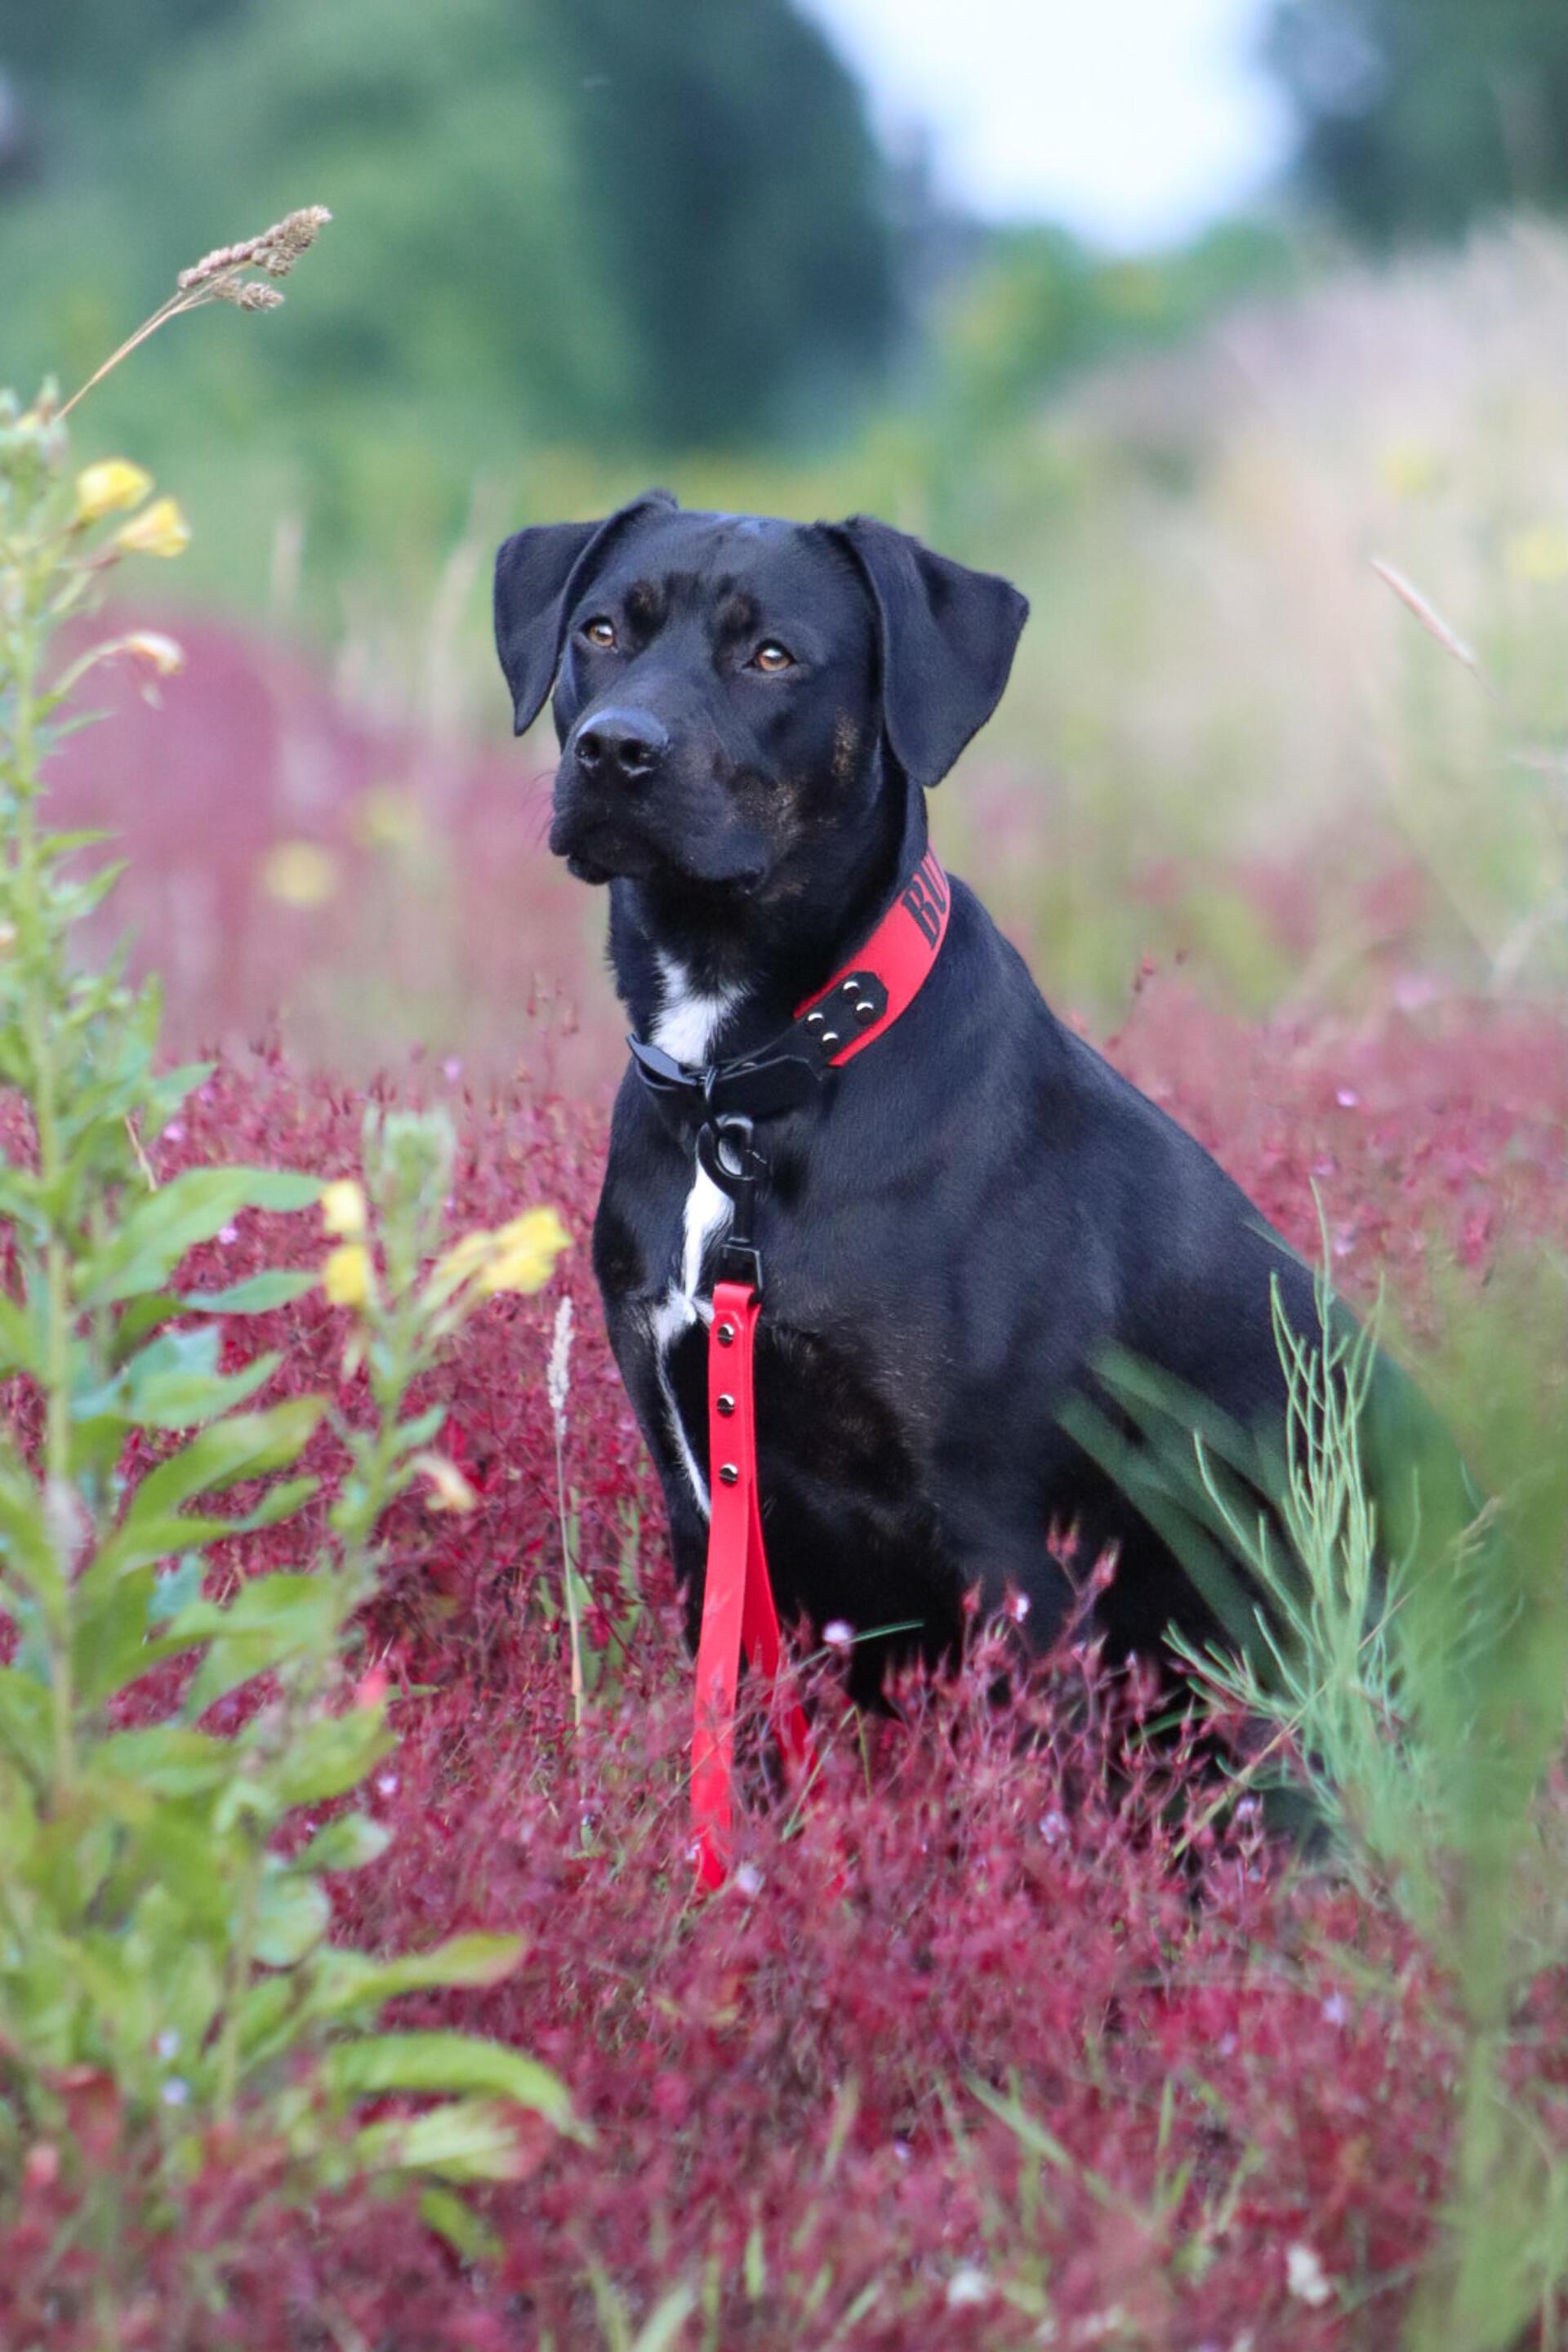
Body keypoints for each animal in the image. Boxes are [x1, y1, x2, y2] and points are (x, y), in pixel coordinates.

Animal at [501, 491, 1363, 1693]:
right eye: (600, 631)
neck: (746, 1084)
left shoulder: (1009, 1543)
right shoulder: (704, 1500)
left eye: (773, 656)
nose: (615, 748)